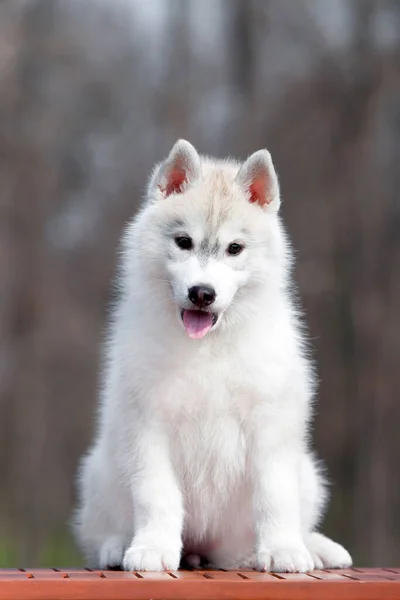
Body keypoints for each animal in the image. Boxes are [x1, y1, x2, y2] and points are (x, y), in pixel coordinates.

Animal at [71, 139, 350, 572]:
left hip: (308, 474)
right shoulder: (148, 426)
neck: (207, 346)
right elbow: (157, 496)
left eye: (234, 249)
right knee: (100, 529)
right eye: (183, 242)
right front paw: (152, 548)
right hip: (99, 471)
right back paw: (116, 547)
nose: (202, 293)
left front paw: (283, 549)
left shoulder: (270, 429)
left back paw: (296, 549)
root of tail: (203, 548)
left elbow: (275, 496)